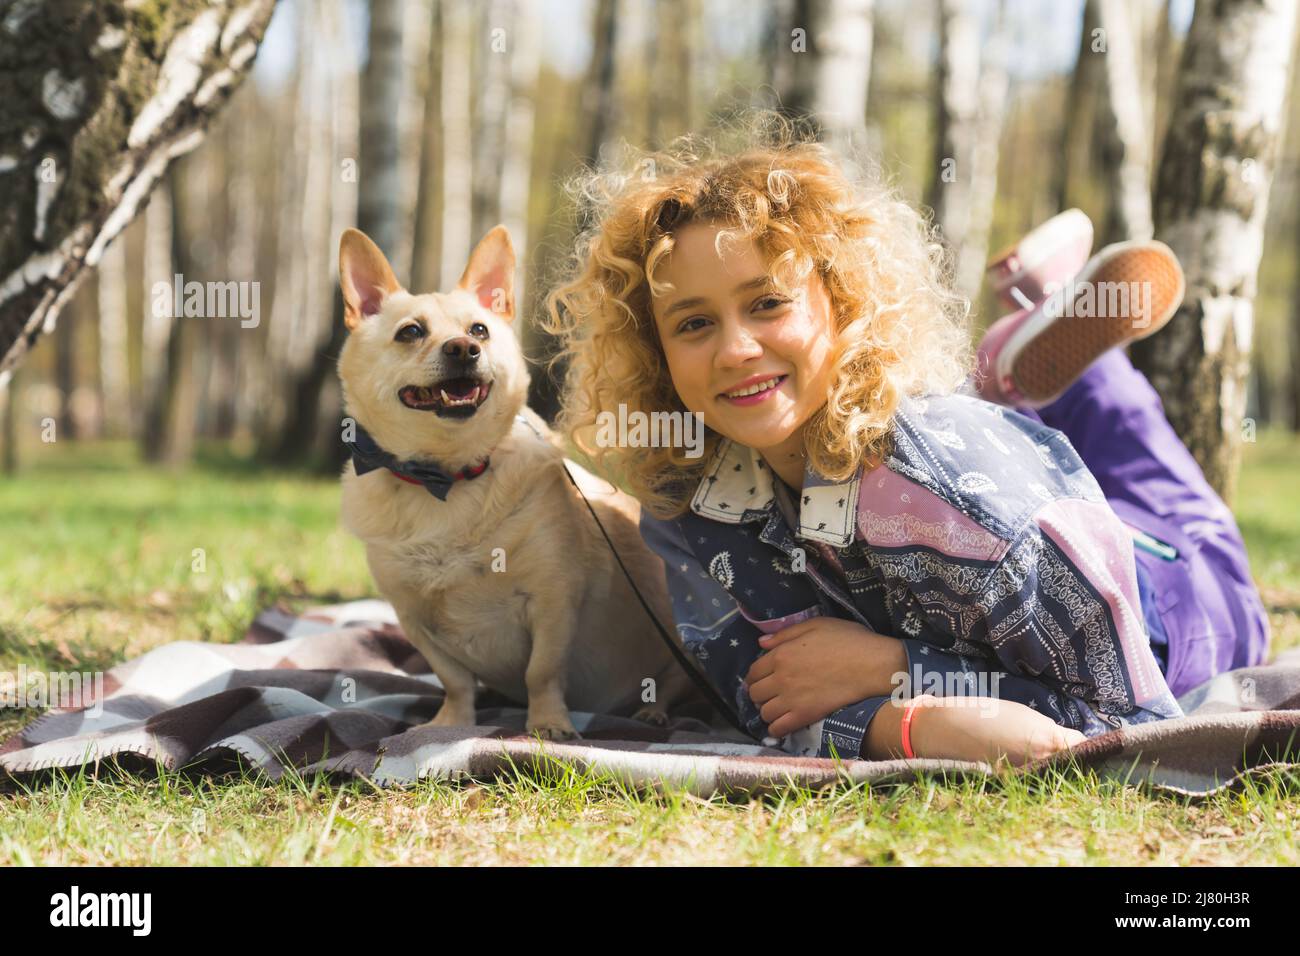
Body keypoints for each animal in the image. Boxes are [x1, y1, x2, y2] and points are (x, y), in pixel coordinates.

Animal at [330, 223, 707, 738]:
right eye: (410, 332)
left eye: (479, 330)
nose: (464, 348)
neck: (445, 477)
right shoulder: (414, 620)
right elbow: (454, 680)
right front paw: (450, 722)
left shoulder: (552, 602)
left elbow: (541, 671)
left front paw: (547, 724)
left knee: (670, 684)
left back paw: (653, 712)